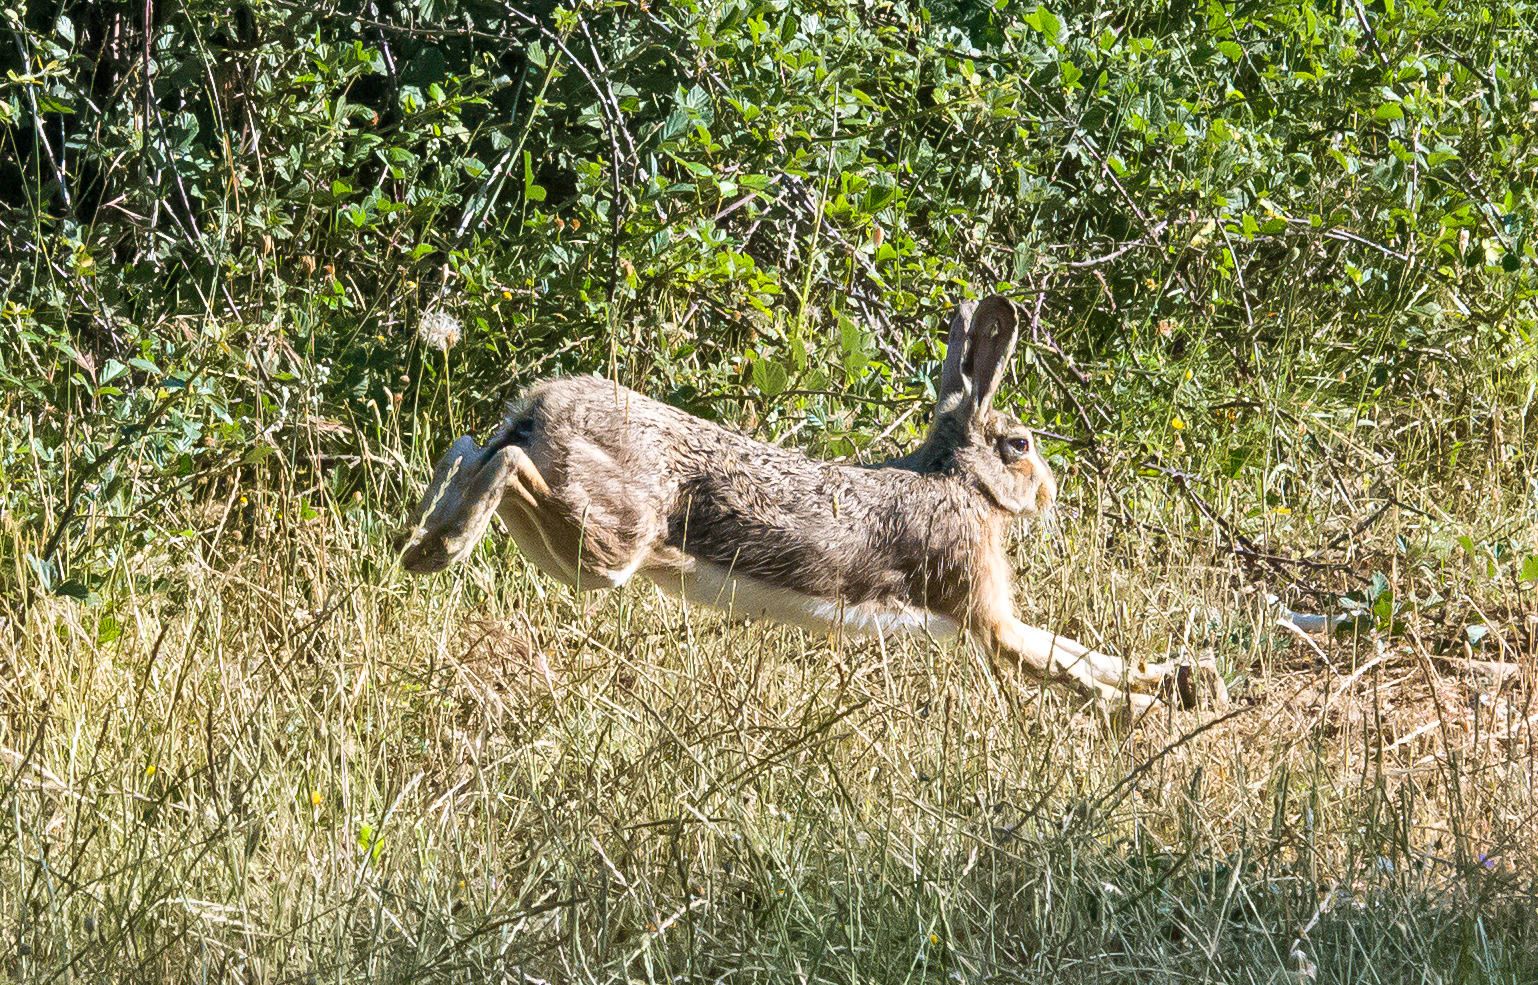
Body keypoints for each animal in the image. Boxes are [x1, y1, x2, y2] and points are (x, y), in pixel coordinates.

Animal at [396, 296, 1218, 715]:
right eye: (1017, 445)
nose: (1047, 493)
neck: (956, 479)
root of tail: (541, 408)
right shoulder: (981, 613)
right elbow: (1048, 658)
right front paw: (1140, 710)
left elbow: (1079, 650)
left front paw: (1175, 680)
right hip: (606, 541)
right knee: (502, 465)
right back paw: (439, 548)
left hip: (567, 533)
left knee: (468, 446)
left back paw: (421, 541)